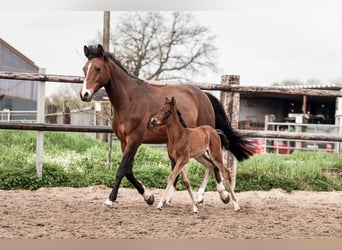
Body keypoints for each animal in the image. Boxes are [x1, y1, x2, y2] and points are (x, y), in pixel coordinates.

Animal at [79, 44, 251, 207]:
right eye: (84, 68)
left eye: (98, 68)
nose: (84, 94)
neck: (129, 100)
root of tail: (204, 95)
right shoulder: (124, 141)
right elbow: (128, 170)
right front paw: (149, 197)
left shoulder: (135, 140)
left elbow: (121, 169)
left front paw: (110, 200)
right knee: (185, 168)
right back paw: (172, 199)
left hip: (204, 139)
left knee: (214, 164)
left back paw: (221, 195)